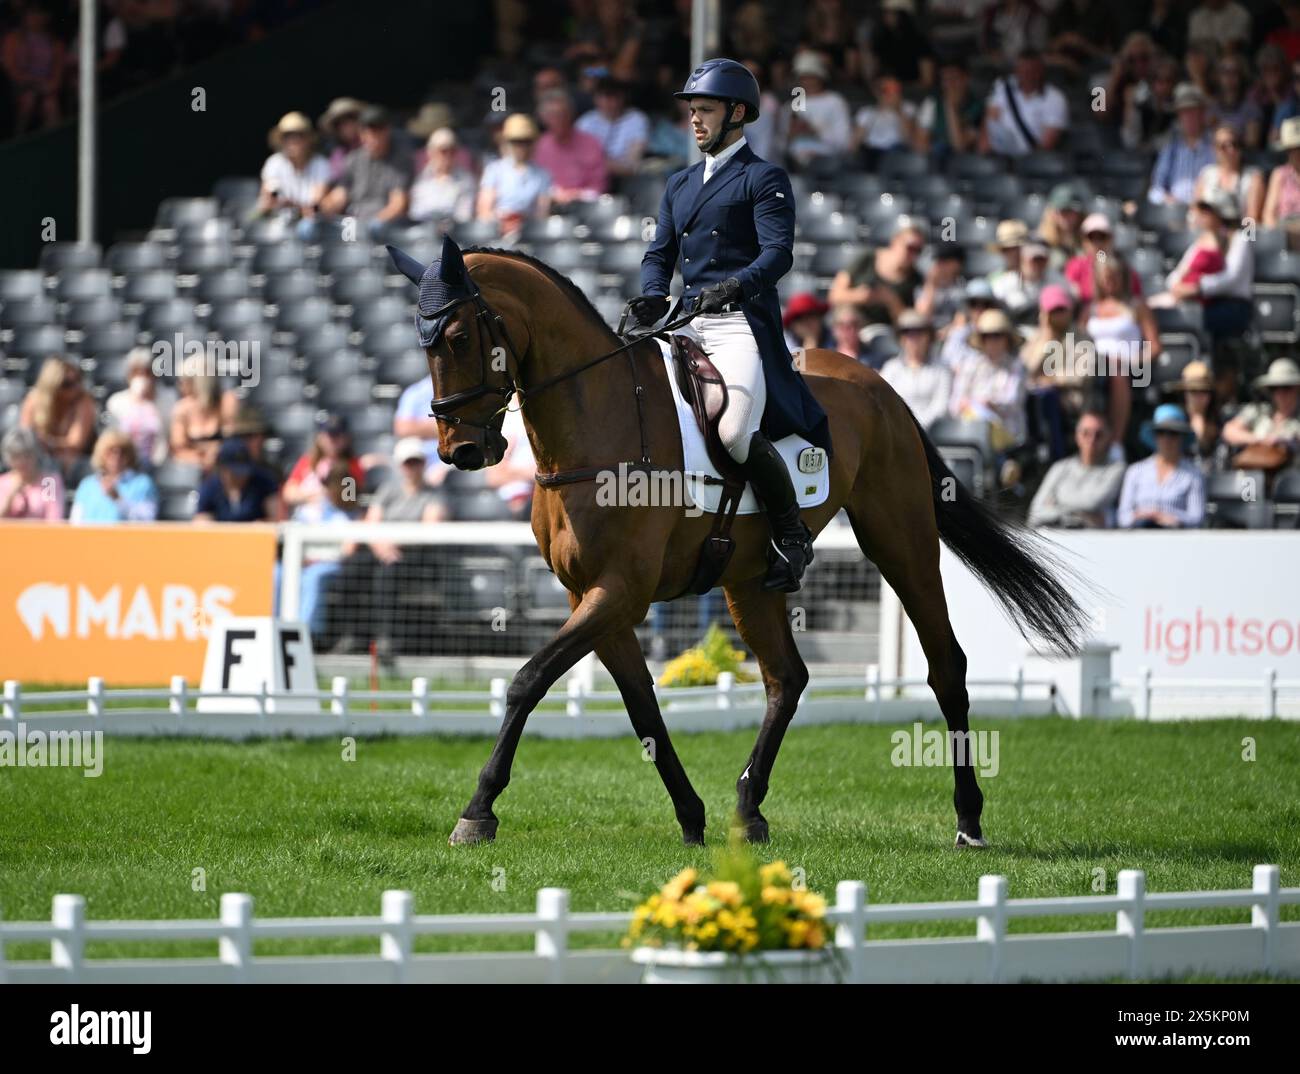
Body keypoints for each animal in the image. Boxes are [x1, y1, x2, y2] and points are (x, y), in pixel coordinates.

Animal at [387, 237, 1086, 847]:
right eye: (421, 344)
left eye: (458, 338)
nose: (461, 451)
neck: (595, 426)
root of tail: (877, 384)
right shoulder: (590, 598)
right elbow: (642, 707)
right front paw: (691, 817)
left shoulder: (619, 592)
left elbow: (527, 680)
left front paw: (478, 811)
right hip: (750, 579)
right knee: (787, 678)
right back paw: (748, 810)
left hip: (902, 539)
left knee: (946, 666)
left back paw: (969, 820)